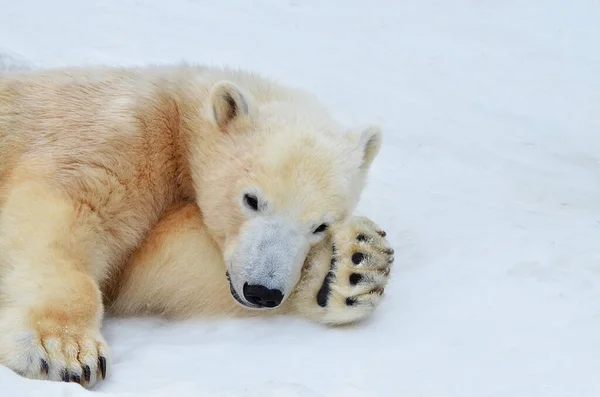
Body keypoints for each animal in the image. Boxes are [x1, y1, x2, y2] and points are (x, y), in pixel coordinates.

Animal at [0, 63, 394, 386]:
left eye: (320, 226)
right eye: (251, 199)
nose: (262, 292)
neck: (179, 114)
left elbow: (159, 266)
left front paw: (351, 266)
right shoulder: (118, 134)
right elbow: (65, 211)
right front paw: (62, 350)